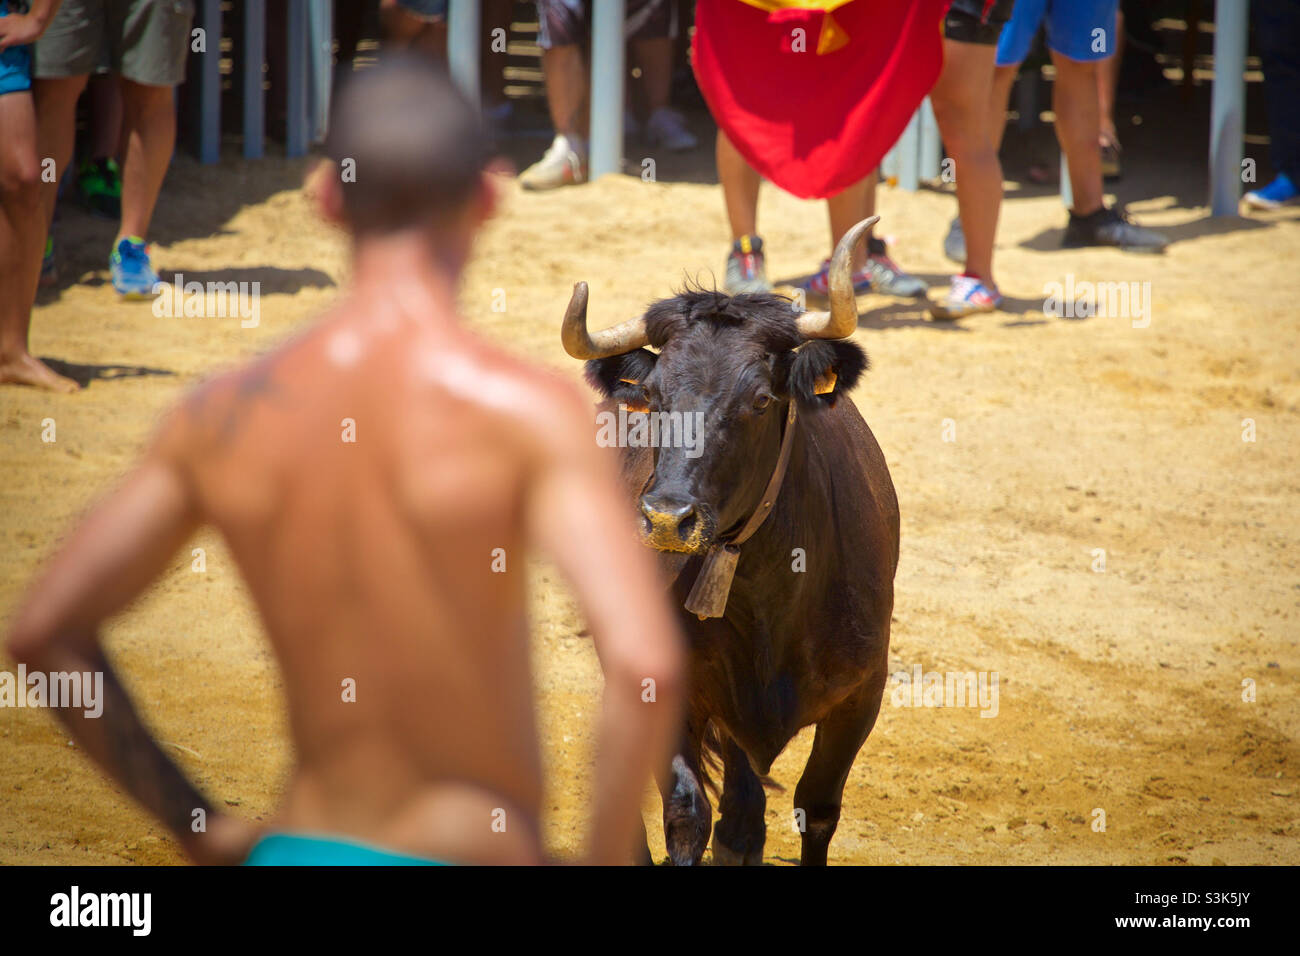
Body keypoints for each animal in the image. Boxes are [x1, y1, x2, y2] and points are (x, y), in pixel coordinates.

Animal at [564, 218, 899, 868]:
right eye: (655, 398)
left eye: (761, 399)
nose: (667, 519)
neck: (768, 594)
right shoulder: (676, 695)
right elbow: (688, 812)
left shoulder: (860, 696)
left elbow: (816, 808)